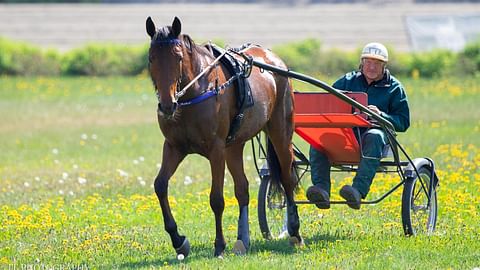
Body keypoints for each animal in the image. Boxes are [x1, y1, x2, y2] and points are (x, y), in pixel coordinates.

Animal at [146, 16, 304, 258]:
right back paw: (242, 240)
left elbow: (217, 199)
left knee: (288, 178)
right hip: (234, 146)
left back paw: (295, 232)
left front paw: (219, 245)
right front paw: (179, 240)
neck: (196, 91)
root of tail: (275, 60)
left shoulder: (216, 150)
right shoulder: (174, 146)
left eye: (178, 57)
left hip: (280, 131)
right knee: (243, 189)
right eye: (152, 58)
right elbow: (160, 185)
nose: (167, 104)